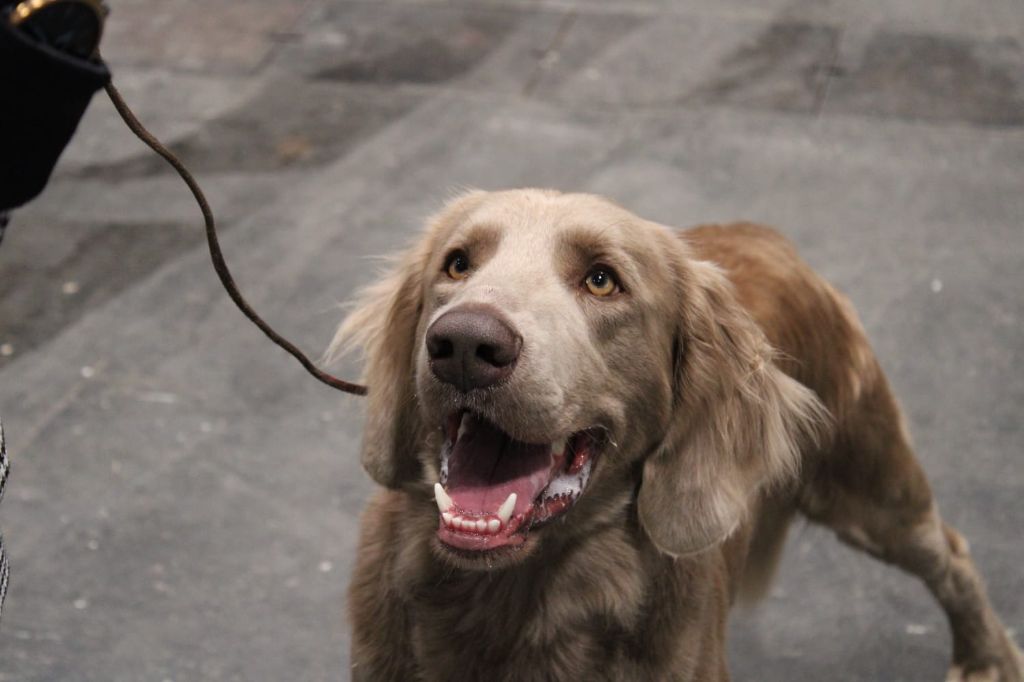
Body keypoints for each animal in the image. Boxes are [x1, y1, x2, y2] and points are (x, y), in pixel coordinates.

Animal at [331, 188, 1019, 675]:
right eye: (457, 265)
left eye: (602, 279)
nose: (465, 345)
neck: (523, 596)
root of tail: (764, 234)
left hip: (869, 487)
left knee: (952, 556)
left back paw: (985, 658)